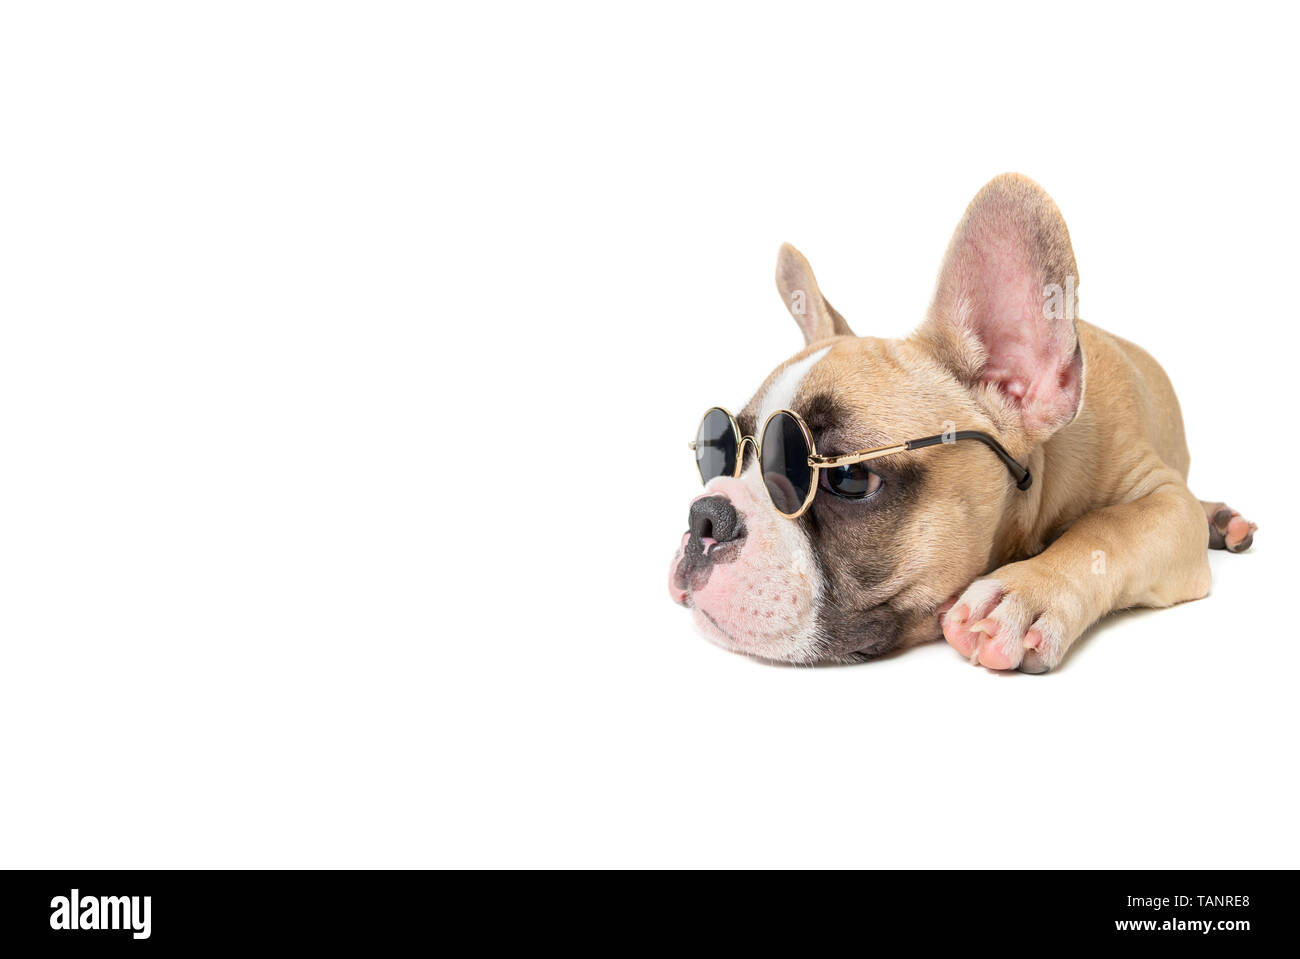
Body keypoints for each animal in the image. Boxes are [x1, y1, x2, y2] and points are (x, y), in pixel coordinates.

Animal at [665, 171, 1253, 670]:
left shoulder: (1165, 501)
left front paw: (1025, 591)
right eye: (716, 453)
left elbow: (1111, 526)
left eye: (848, 478)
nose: (706, 516)